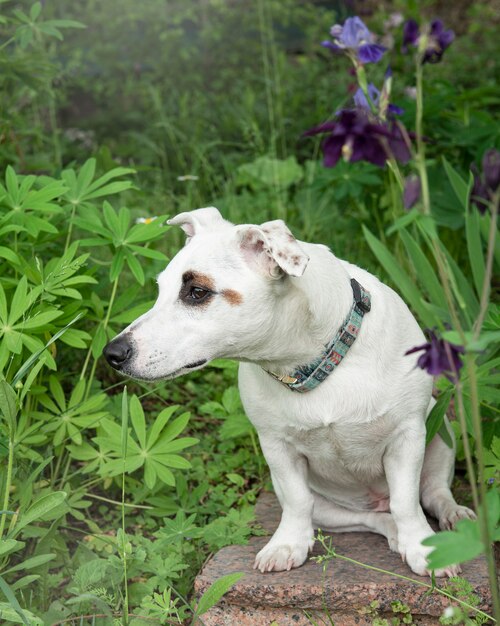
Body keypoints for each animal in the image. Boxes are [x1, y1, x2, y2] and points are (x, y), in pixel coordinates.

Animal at [103, 208, 474, 576]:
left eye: (196, 291)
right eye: (160, 289)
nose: (112, 353)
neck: (311, 363)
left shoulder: (406, 437)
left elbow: (406, 501)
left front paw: (424, 548)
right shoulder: (277, 448)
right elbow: (298, 501)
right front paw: (287, 545)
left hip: (441, 430)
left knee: (433, 492)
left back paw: (455, 516)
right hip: (327, 507)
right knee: (369, 518)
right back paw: (393, 533)